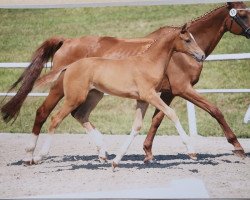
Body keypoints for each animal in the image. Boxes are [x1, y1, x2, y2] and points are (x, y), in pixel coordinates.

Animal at [34, 25, 204, 167]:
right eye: (187, 40)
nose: (201, 56)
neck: (149, 62)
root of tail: (70, 66)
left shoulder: (142, 100)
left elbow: (136, 126)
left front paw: (116, 161)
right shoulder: (149, 95)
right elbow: (171, 113)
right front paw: (192, 152)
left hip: (94, 95)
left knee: (80, 115)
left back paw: (102, 154)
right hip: (74, 98)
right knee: (55, 119)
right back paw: (38, 156)